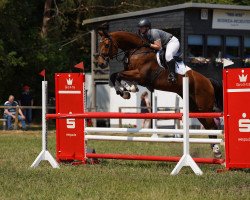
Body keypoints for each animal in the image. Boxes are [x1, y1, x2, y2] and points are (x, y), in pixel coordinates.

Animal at [96, 30, 223, 158]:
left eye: (106, 45)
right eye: (99, 45)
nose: (101, 64)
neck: (136, 51)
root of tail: (208, 81)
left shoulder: (140, 75)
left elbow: (117, 75)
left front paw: (123, 91)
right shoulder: (132, 74)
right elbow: (117, 77)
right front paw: (126, 91)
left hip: (204, 107)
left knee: (212, 126)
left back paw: (217, 150)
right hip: (195, 109)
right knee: (208, 126)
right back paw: (215, 150)